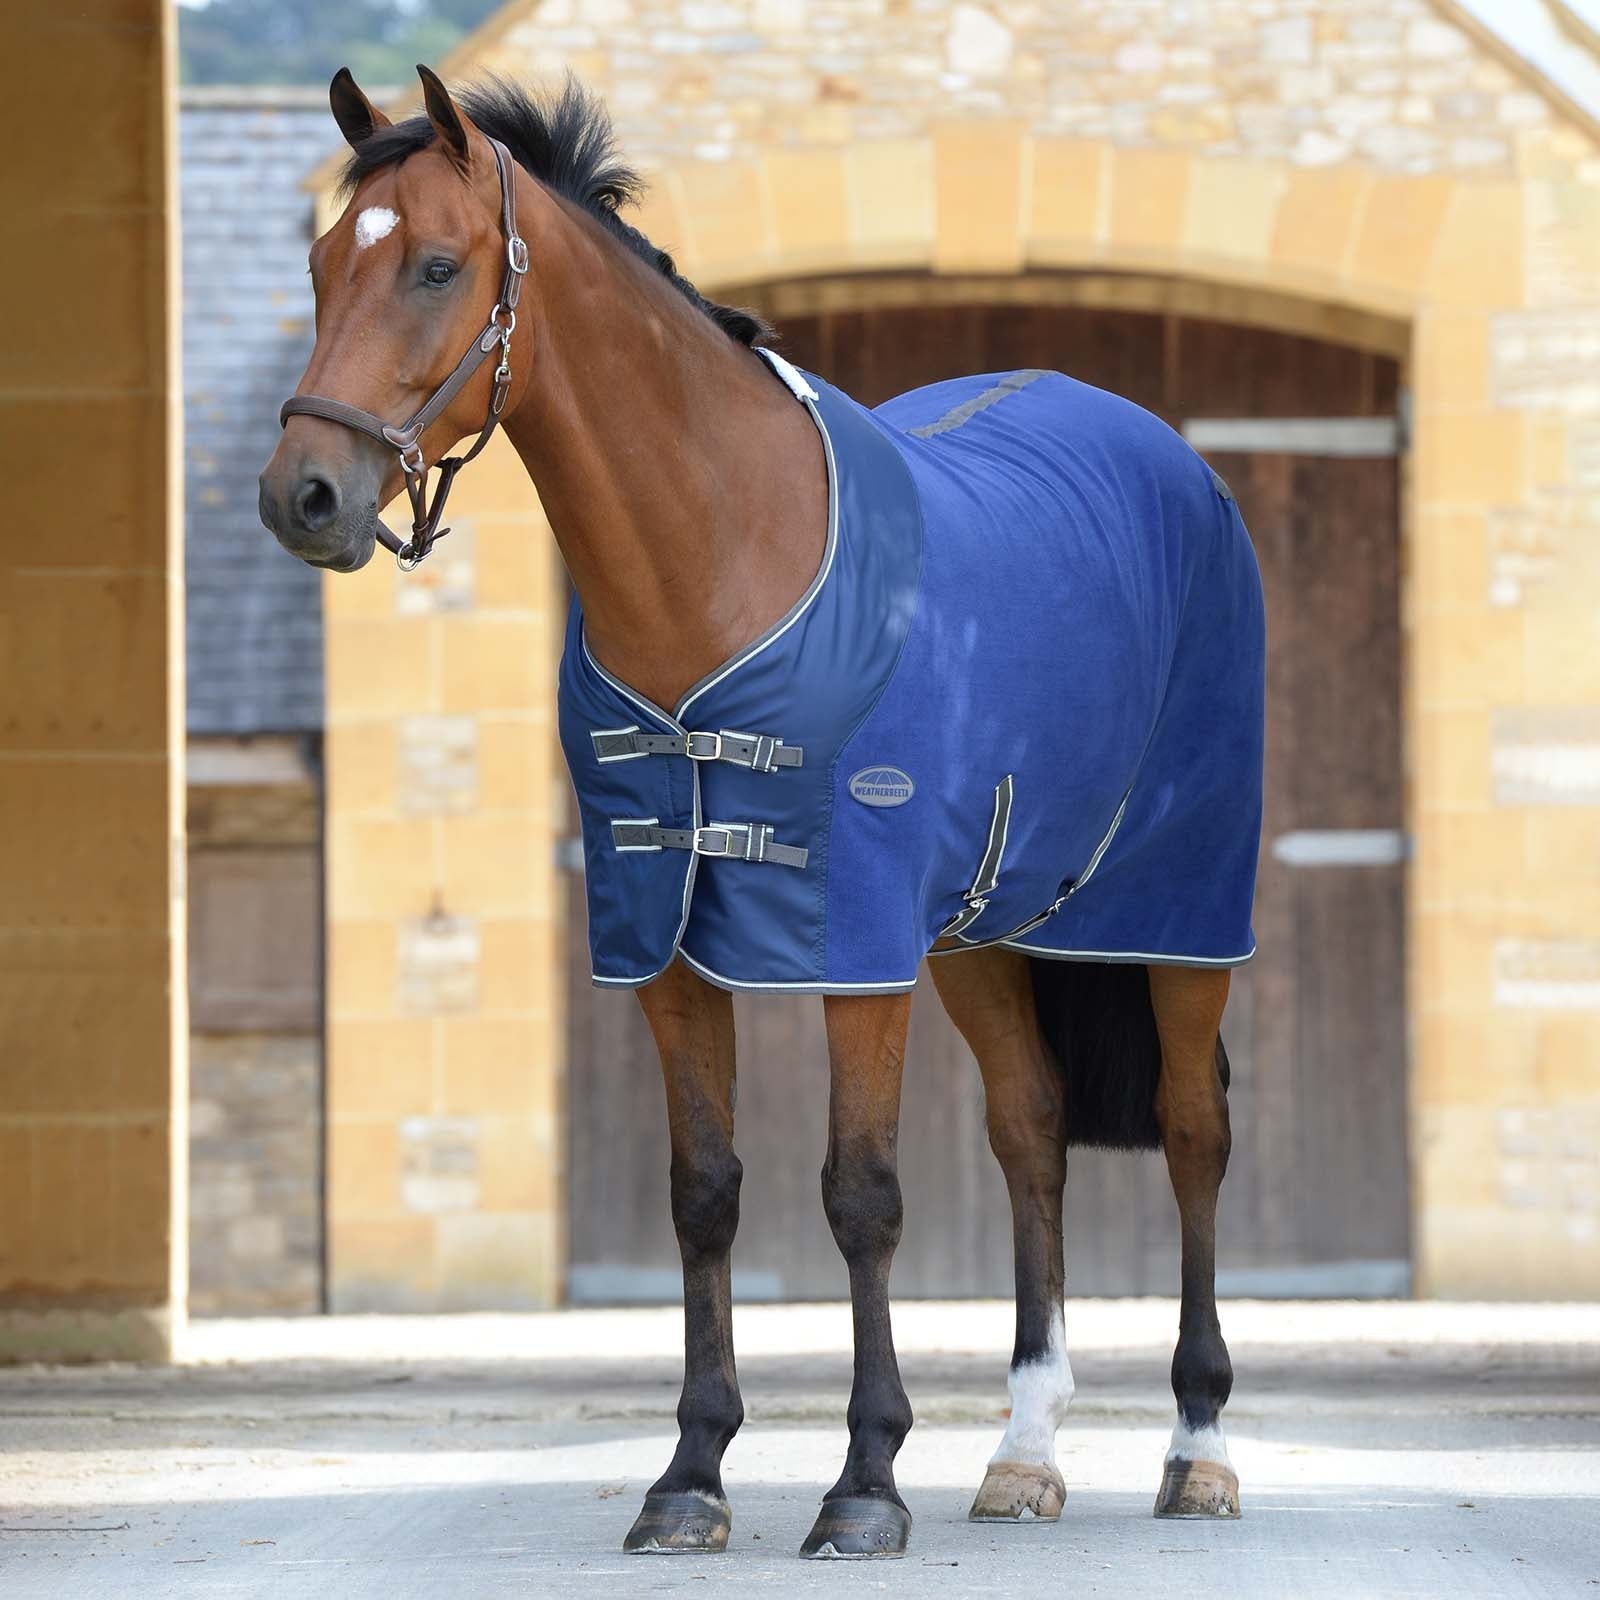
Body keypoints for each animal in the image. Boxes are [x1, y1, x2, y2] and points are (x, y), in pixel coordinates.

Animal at [259, 65, 1264, 1561]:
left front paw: (864, 1483)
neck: (723, 556)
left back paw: (1197, 1447)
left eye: (436, 264)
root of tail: (1172, 462)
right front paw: (690, 1475)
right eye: (326, 265)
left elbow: (861, 1195)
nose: (303, 497)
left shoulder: (853, 941)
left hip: (1180, 917)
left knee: (1194, 1133)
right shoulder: (665, 937)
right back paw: (1024, 1451)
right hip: (979, 937)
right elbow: (704, 1194)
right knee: (1030, 1133)